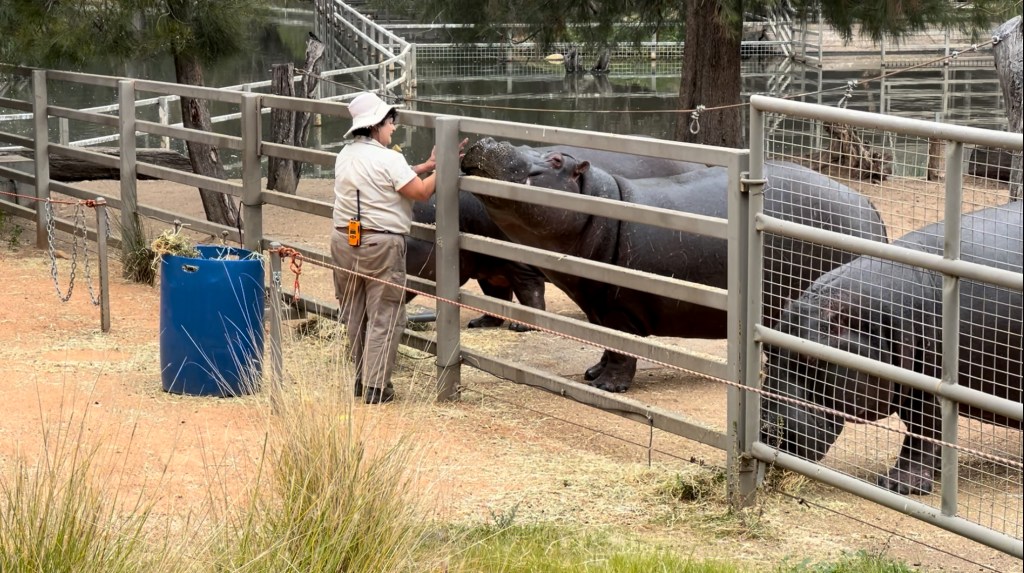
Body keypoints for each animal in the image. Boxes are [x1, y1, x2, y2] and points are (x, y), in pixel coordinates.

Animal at [460, 137, 889, 392]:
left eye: (553, 159)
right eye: (537, 144)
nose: (489, 139)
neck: (603, 202)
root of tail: (868, 206)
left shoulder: (618, 307)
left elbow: (622, 349)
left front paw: (606, 387)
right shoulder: (598, 304)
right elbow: (607, 347)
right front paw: (592, 374)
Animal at [761, 201, 1023, 495]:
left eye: (812, 358)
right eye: (768, 349)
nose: (767, 430)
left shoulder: (929, 386)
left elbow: (923, 429)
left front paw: (897, 485)